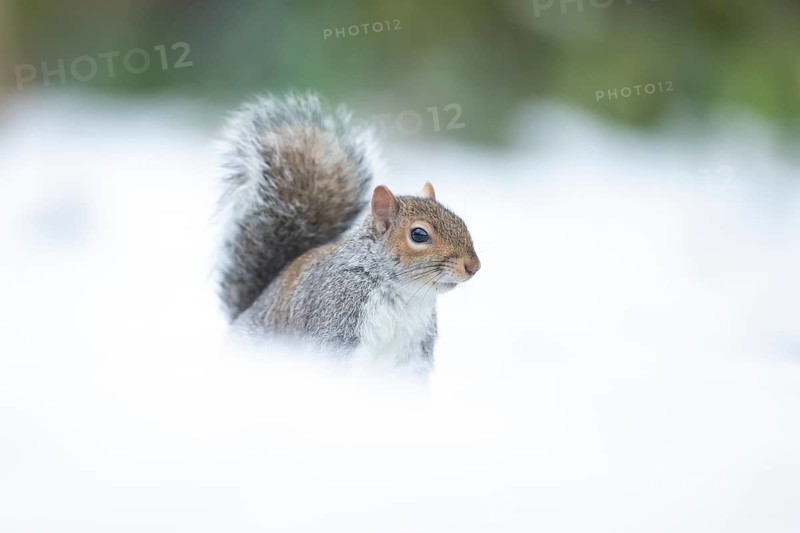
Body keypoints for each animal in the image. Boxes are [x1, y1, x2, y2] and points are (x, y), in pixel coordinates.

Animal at [216, 93, 480, 374]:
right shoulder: (336, 321)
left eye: (460, 221)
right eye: (419, 235)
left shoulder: (413, 358)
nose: (473, 266)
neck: (406, 296)